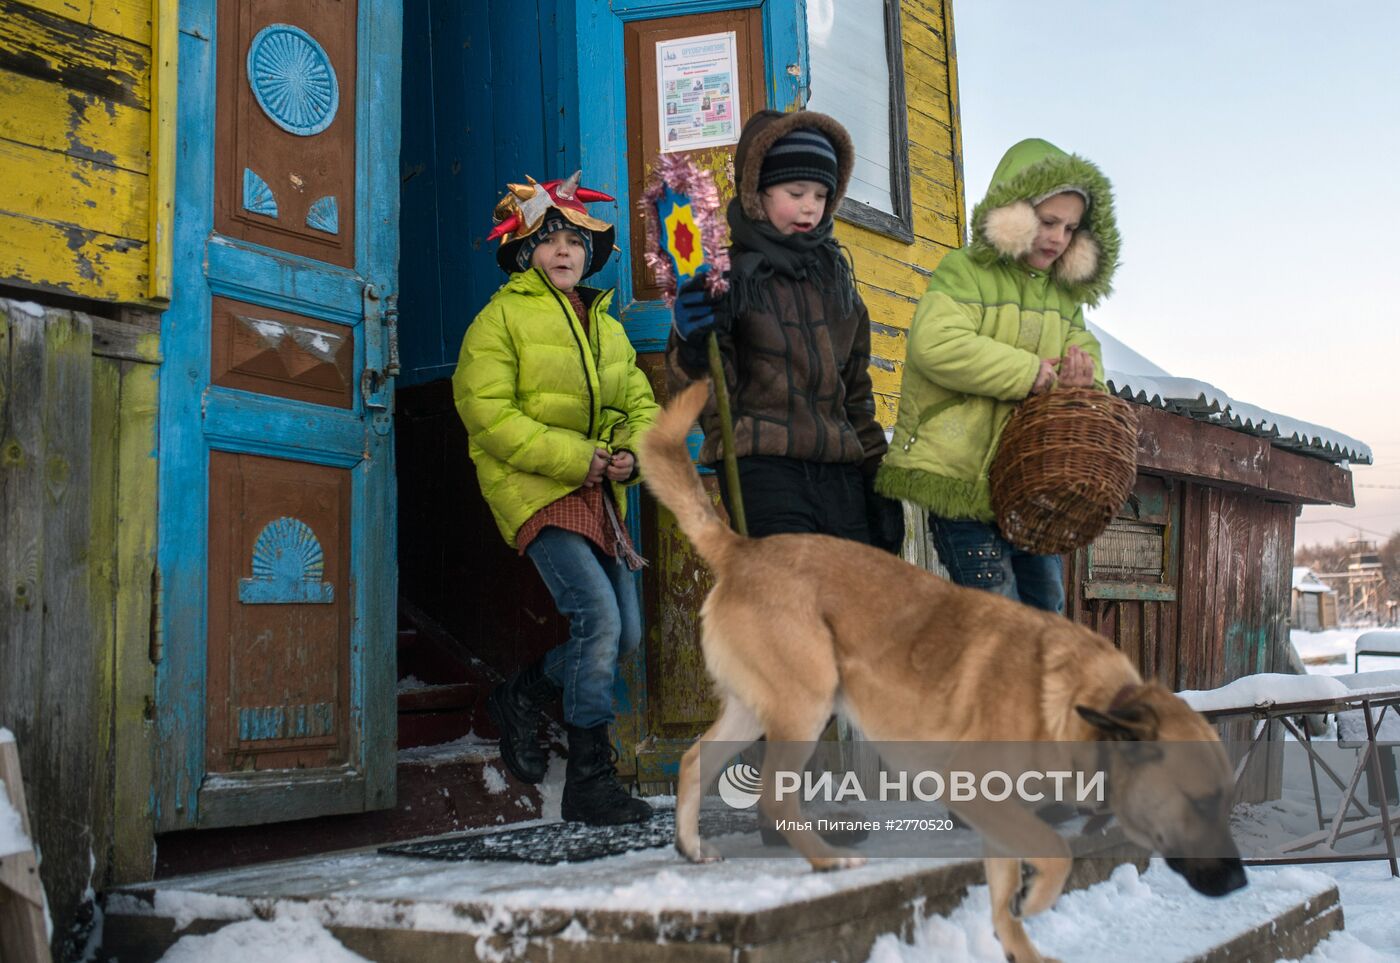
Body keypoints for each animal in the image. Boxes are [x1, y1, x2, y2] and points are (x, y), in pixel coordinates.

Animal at [641, 380, 1243, 963]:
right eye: (1199, 802)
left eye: (1225, 801)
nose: (1239, 882)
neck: (1076, 705)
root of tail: (741, 550)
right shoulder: (975, 790)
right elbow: (1056, 852)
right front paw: (1037, 897)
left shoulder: (1001, 815)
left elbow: (1005, 900)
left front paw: (1022, 941)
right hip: (805, 707)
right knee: (773, 797)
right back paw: (827, 861)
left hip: (758, 709)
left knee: (694, 760)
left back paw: (692, 848)